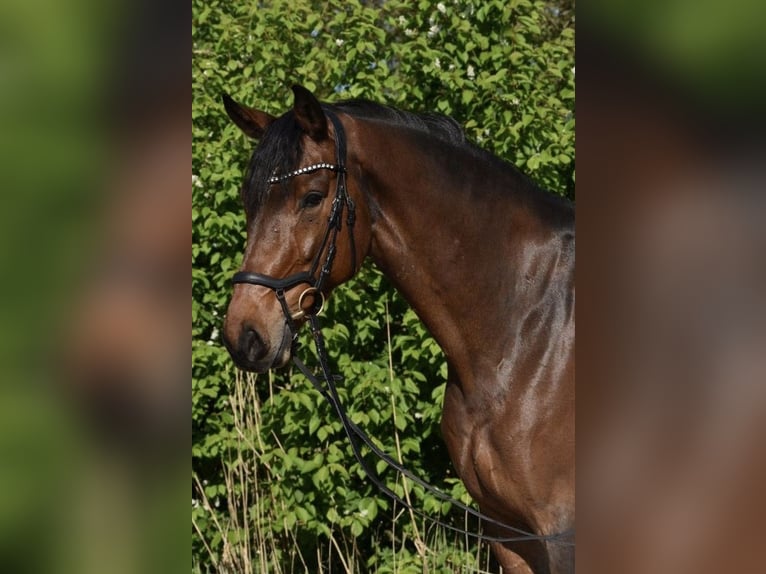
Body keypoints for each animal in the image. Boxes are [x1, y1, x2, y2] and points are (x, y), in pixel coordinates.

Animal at [221, 85, 575, 574]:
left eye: (312, 197)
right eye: (248, 200)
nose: (244, 334)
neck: (529, 329)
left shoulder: (559, 534)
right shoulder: (508, 531)